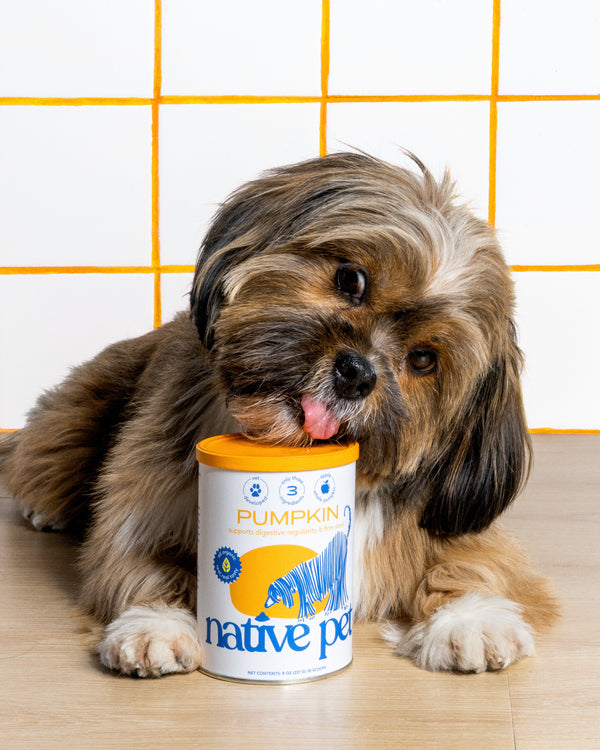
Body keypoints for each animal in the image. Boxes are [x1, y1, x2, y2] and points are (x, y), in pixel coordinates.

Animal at [2, 153, 560, 680]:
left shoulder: (454, 526)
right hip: (82, 407)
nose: (356, 372)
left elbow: (476, 563)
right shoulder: (143, 506)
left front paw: (472, 619)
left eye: (424, 359)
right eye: (351, 279)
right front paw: (156, 624)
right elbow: (141, 564)